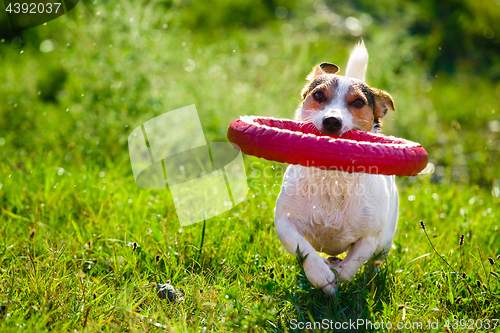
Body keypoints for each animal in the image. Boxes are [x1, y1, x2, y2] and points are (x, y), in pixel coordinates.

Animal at [274, 42, 398, 296]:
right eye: (318, 95)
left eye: (359, 102)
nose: (332, 121)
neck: (332, 177)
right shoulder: (285, 222)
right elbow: (303, 248)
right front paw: (321, 274)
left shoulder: (369, 238)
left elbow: (353, 263)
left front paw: (338, 276)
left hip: (385, 242)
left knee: (374, 263)